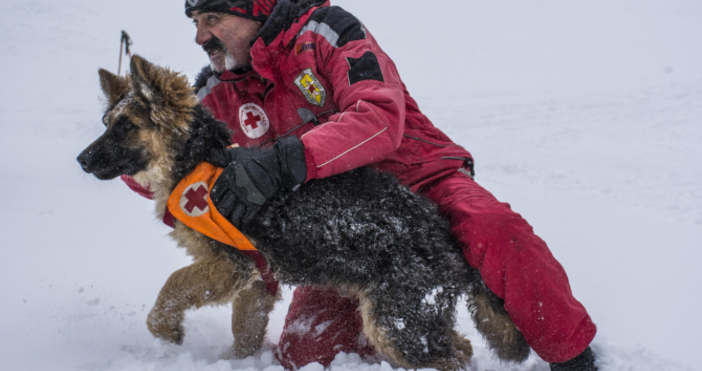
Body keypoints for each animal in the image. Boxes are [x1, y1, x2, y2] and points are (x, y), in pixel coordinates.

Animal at [77, 56, 532, 371]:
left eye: (125, 126)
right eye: (105, 122)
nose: (81, 160)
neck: (198, 160)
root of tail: (446, 238)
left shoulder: (229, 265)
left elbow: (171, 288)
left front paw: (167, 331)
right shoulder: (256, 282)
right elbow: (244, 331)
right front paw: (237, 362)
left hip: (394, 322)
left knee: (447, 357)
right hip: (411, 316)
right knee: (461, 347)